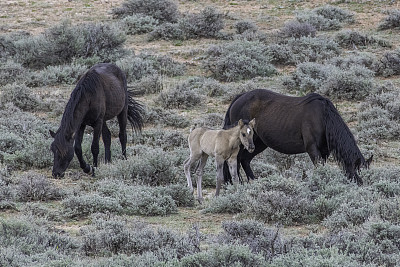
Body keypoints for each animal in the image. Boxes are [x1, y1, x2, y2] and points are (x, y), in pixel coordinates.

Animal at [223, 89, 374, 185]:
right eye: (357, 175)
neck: (323, 117)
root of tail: (239, 97)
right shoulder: (312, 149)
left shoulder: (324, 152)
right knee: (236, 160)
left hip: (258, 143)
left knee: (245, 160)